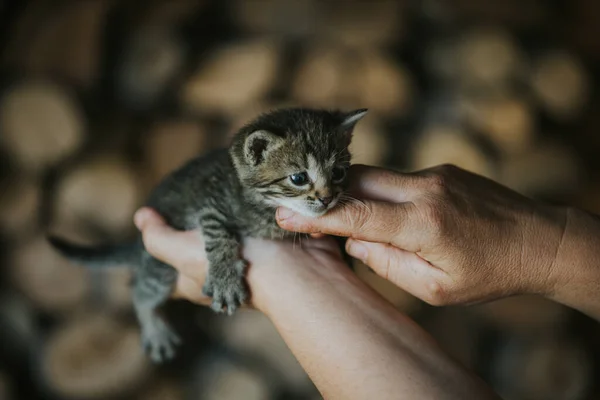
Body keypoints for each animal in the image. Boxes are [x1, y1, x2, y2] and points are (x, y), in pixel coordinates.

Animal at [48, 108, 366, 364]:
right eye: (299, 178)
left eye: (339, 173)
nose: (327, 198)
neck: (261, 205)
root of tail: (138, 245)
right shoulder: (209, 204)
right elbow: (219, 237)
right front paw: (225, 279)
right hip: (159, 267)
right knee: (139, 289)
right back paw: (155, 328)